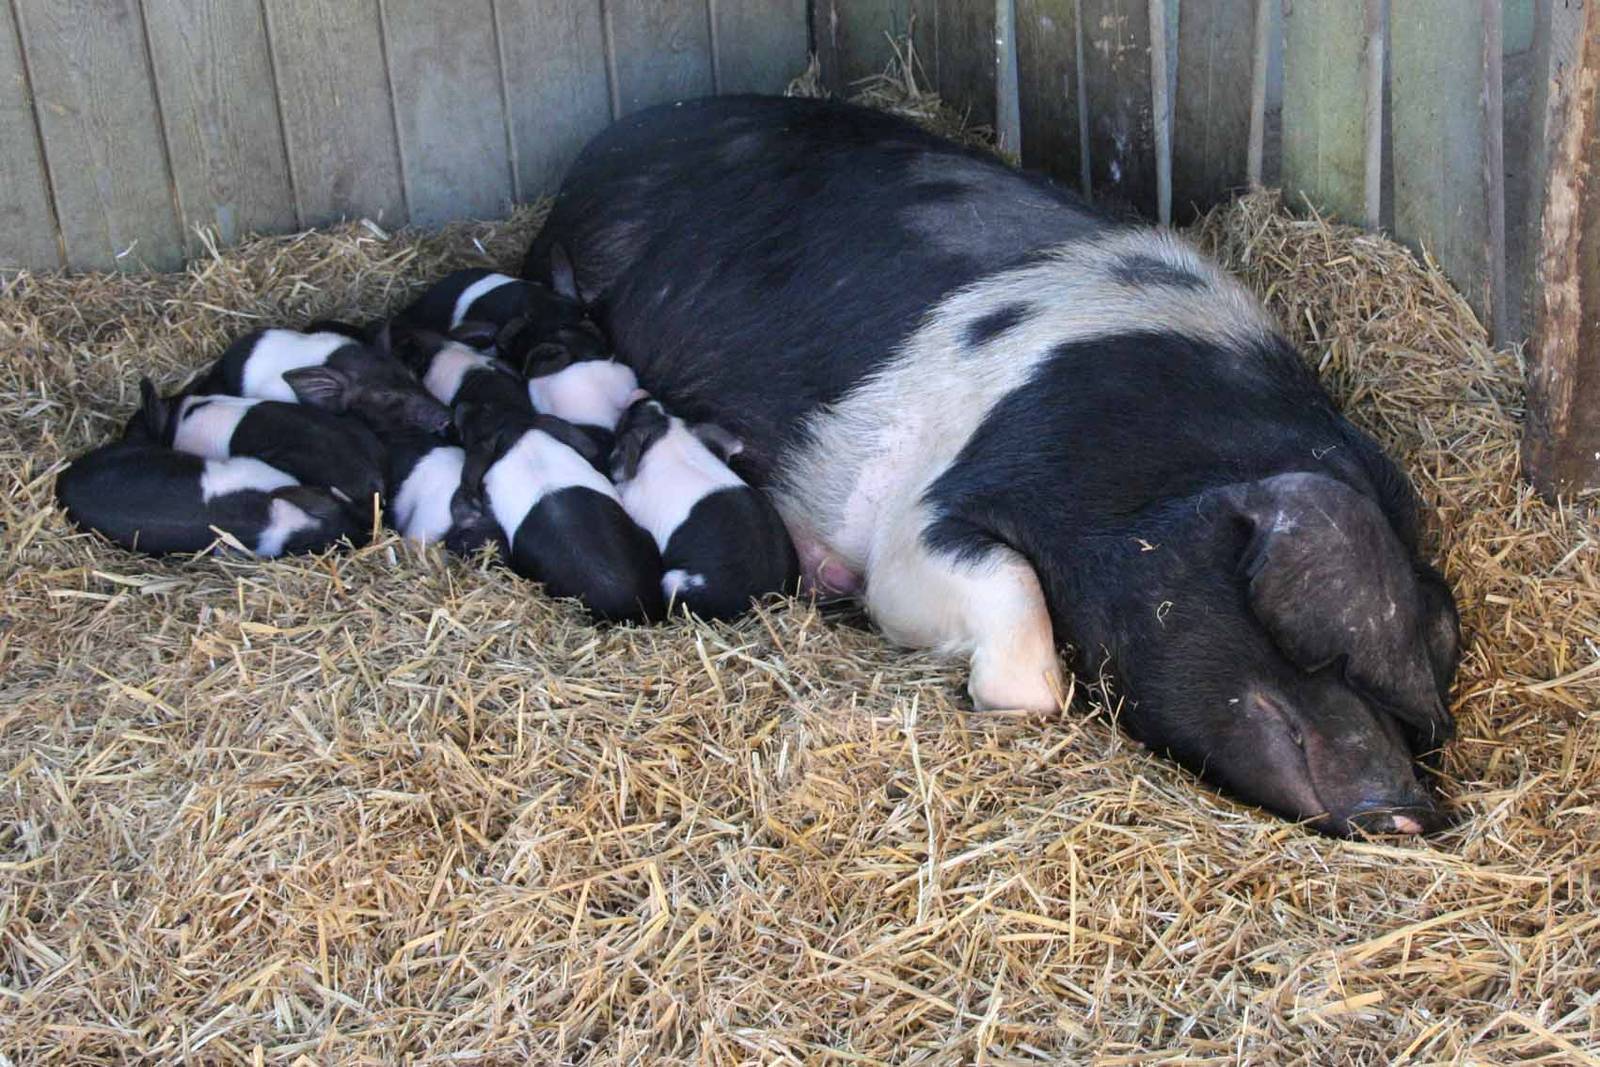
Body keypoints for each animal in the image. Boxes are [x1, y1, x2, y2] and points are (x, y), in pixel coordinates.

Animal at [610, 395, 798, 619]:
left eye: (626, 420)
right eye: (667, 406)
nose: (643, 397)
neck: (669, 435)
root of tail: (761, 603)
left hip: (674, 581)